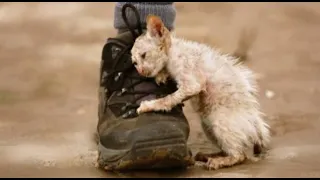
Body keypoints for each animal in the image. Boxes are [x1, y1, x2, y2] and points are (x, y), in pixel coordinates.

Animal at [131, 15, 272, 170]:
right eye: (134, 63)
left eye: (144, 55)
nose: (141, 71)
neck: (173, 51)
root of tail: (257, 127)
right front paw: (161, 76)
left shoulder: (192, 84)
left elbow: (169, 98)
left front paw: (148, 105)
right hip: (208, 126)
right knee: (229, 149)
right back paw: (208, 156)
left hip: (219, 122)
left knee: (239, 155)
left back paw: (218, 161)